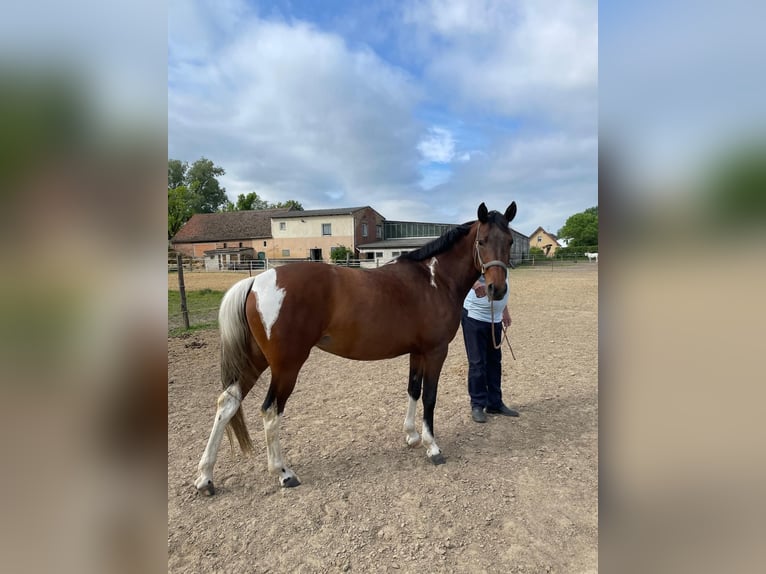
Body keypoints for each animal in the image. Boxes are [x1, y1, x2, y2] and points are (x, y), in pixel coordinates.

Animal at [195, 202, 520, 496]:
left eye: (509, 241)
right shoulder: (435, 351)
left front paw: (412, 436)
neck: (434, 280)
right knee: (270, 410)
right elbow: (429, 396)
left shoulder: (417, 352)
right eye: (482, 241)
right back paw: (284, 473)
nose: (497, 290)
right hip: (286, 366)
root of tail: (256, 281)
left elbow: (413, 391)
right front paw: (432, 447)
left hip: (256, 359)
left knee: (227, 403)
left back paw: (206, 478)